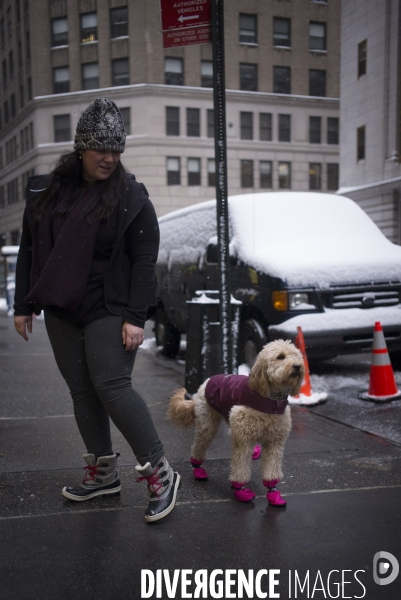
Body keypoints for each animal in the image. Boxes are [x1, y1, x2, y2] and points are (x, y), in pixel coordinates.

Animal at [168, 340, 304, 504]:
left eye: (295, 355)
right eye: (280, 357)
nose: (297, 366)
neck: (270, 400)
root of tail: (208, 380)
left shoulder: (275, 441)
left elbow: (272, 468)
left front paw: (273, 492)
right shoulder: (243, 440)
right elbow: (240, 466)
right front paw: (240, 490)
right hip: (207, 424)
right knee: (199, 445)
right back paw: (197, 468)